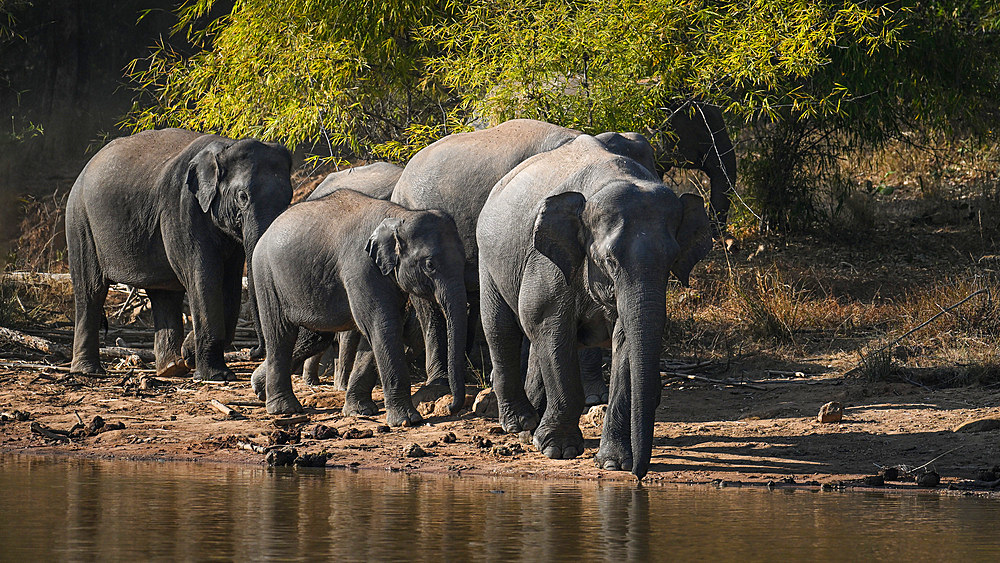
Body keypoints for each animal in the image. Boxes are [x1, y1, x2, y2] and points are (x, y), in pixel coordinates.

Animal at [65, 130, 292, 382]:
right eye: (242, 197)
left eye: (289, 198)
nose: (253, 350)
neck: (226, 147)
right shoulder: (181, 208)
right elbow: (203, 277)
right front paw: (216, 375)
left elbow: (229, 283)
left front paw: (190, 353)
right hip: (80, 220)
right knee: (91, 290)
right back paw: (88, 371)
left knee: (164, 294)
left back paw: (171, 368)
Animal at [250, 189, 468, 424]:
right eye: (430, 265)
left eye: (464, 260)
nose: (451, 407)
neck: (400, 215)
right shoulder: (361, 267)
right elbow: (383, 325)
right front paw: (408, 420)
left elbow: (378, 330)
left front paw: (359, 411)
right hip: (266, 276)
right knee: (281, 335)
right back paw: (284, 409)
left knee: (314, 337)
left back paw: (261, 389)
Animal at [476, 133, 712, 480]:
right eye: (608, 260)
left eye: (672, 259)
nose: (639, 475)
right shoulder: (547, 262)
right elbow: (550, 326)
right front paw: (558, 451)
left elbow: (624, 342)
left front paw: (614, 463)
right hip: (489, 256)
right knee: (501, 327)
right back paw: (520, 425)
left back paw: (532, 427)